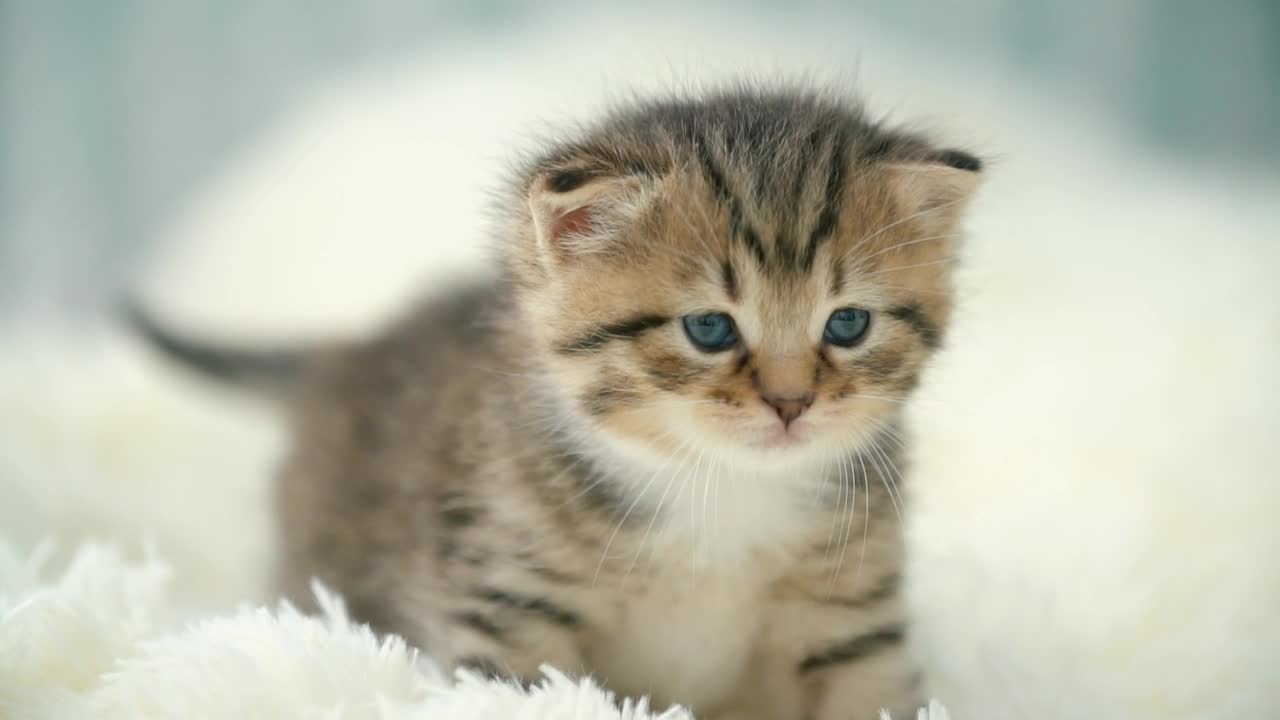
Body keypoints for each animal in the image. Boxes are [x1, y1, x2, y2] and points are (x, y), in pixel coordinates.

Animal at [137, 88, 977, 717]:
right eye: (709, 329)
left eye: (848, 324)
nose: (791, 402)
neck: (718, 490)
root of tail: (351, 350)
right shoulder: (508, 607)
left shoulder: (852, 618)